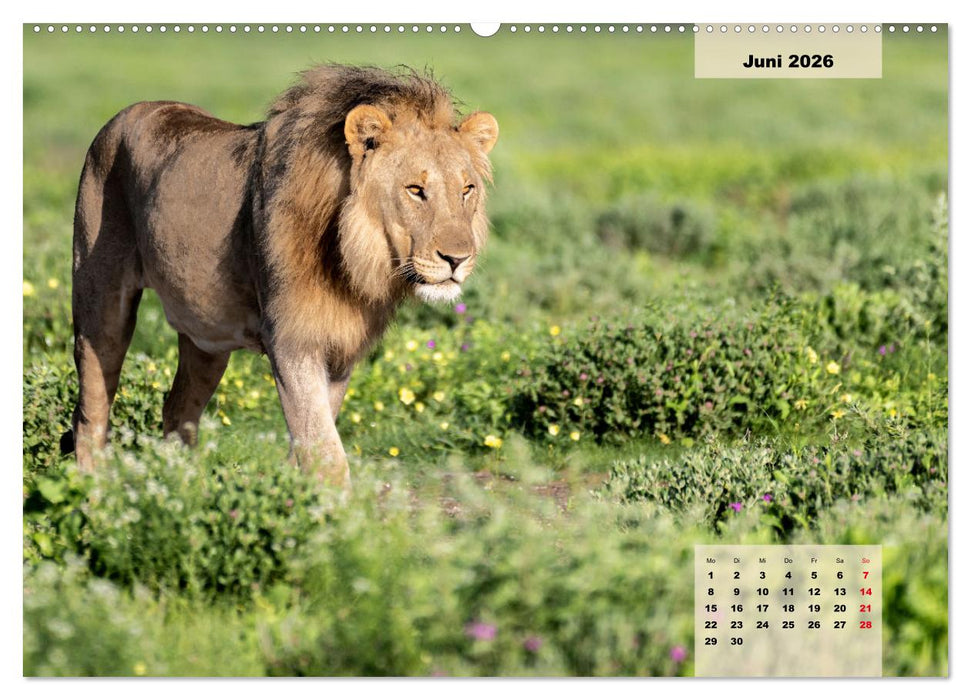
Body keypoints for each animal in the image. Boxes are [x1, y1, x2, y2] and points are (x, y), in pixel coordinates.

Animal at [66, 65, 499, 486]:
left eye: (466, 189)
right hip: (100, 305)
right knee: (91, 412)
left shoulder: (339, 351)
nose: (458, 258)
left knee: (177, 411)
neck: (350, 256)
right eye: (415, 190)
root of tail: (125, 113)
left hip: (206, 336)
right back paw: (94, 493)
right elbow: (325, 451)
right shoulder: (291, 342)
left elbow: (309, 444)